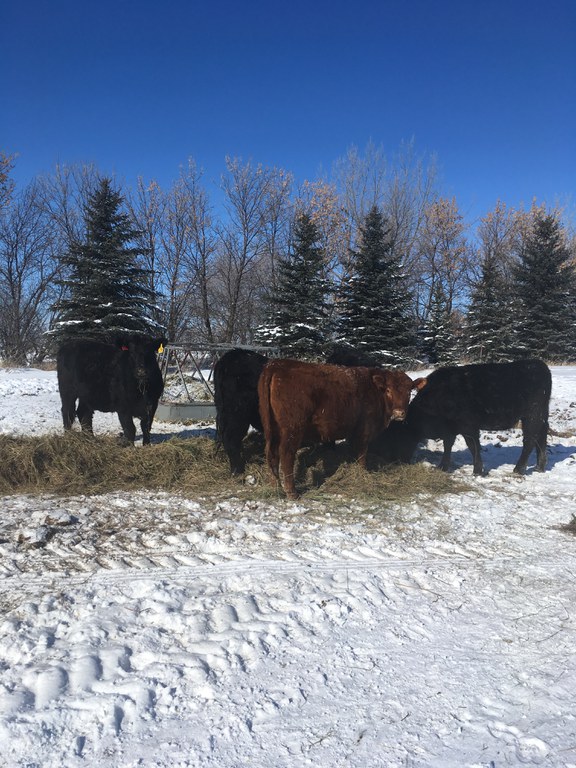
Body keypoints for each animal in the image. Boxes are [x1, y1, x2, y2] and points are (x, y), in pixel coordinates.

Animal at [258, 358, 426, 498]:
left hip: (272, 429)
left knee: (271, 453)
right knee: (286, 454)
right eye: (389, 390)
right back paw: (292, 493)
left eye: (409, 391)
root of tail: (277, 364)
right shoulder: (364, 431)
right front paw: (363, 474)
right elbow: (362, 455)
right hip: (292, 429)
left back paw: (276, 487)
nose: (399, 413)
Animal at [398, 360, 552, 474]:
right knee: (541, 436)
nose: (401, 462)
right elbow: (448, 445)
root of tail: (539, 364)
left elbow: (473, 446)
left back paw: (518, 469)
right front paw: (443, 467)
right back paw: (539, 467)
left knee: (530, 439)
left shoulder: (468, 425)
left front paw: (477, 470)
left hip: (532, 415)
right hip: (541, 415)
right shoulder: (450, 428)